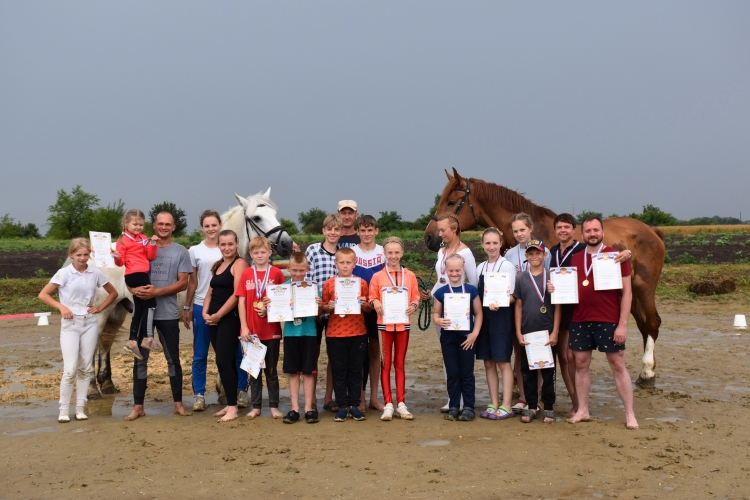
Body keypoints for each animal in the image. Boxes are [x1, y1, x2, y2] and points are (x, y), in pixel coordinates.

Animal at [426, 168, 668, 386]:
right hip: (630, 292)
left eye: (451, 202)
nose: (429, 237)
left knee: (652, 323)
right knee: (643, 325)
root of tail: (652, 230)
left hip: (644, 287)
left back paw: (647, 373)